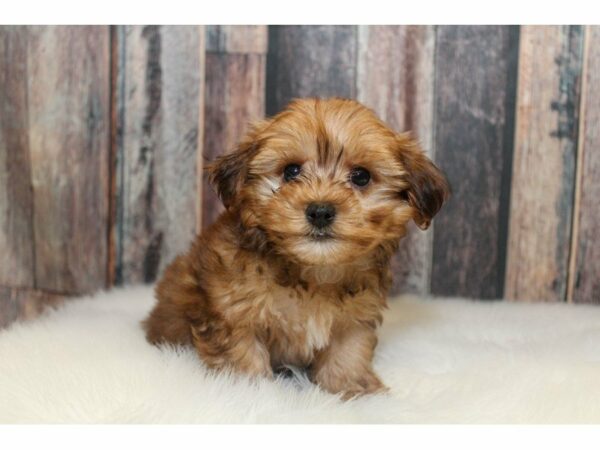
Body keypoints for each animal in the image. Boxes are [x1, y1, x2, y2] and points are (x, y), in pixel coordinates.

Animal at [143, 97, 448, 398]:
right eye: (291, 171)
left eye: (361, 176)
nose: (320, 211)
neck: (312, 273)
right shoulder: (232, 313)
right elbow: (242, 354)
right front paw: (247, 391)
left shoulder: (355, 316)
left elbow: (348, 351)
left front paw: (351, 388)